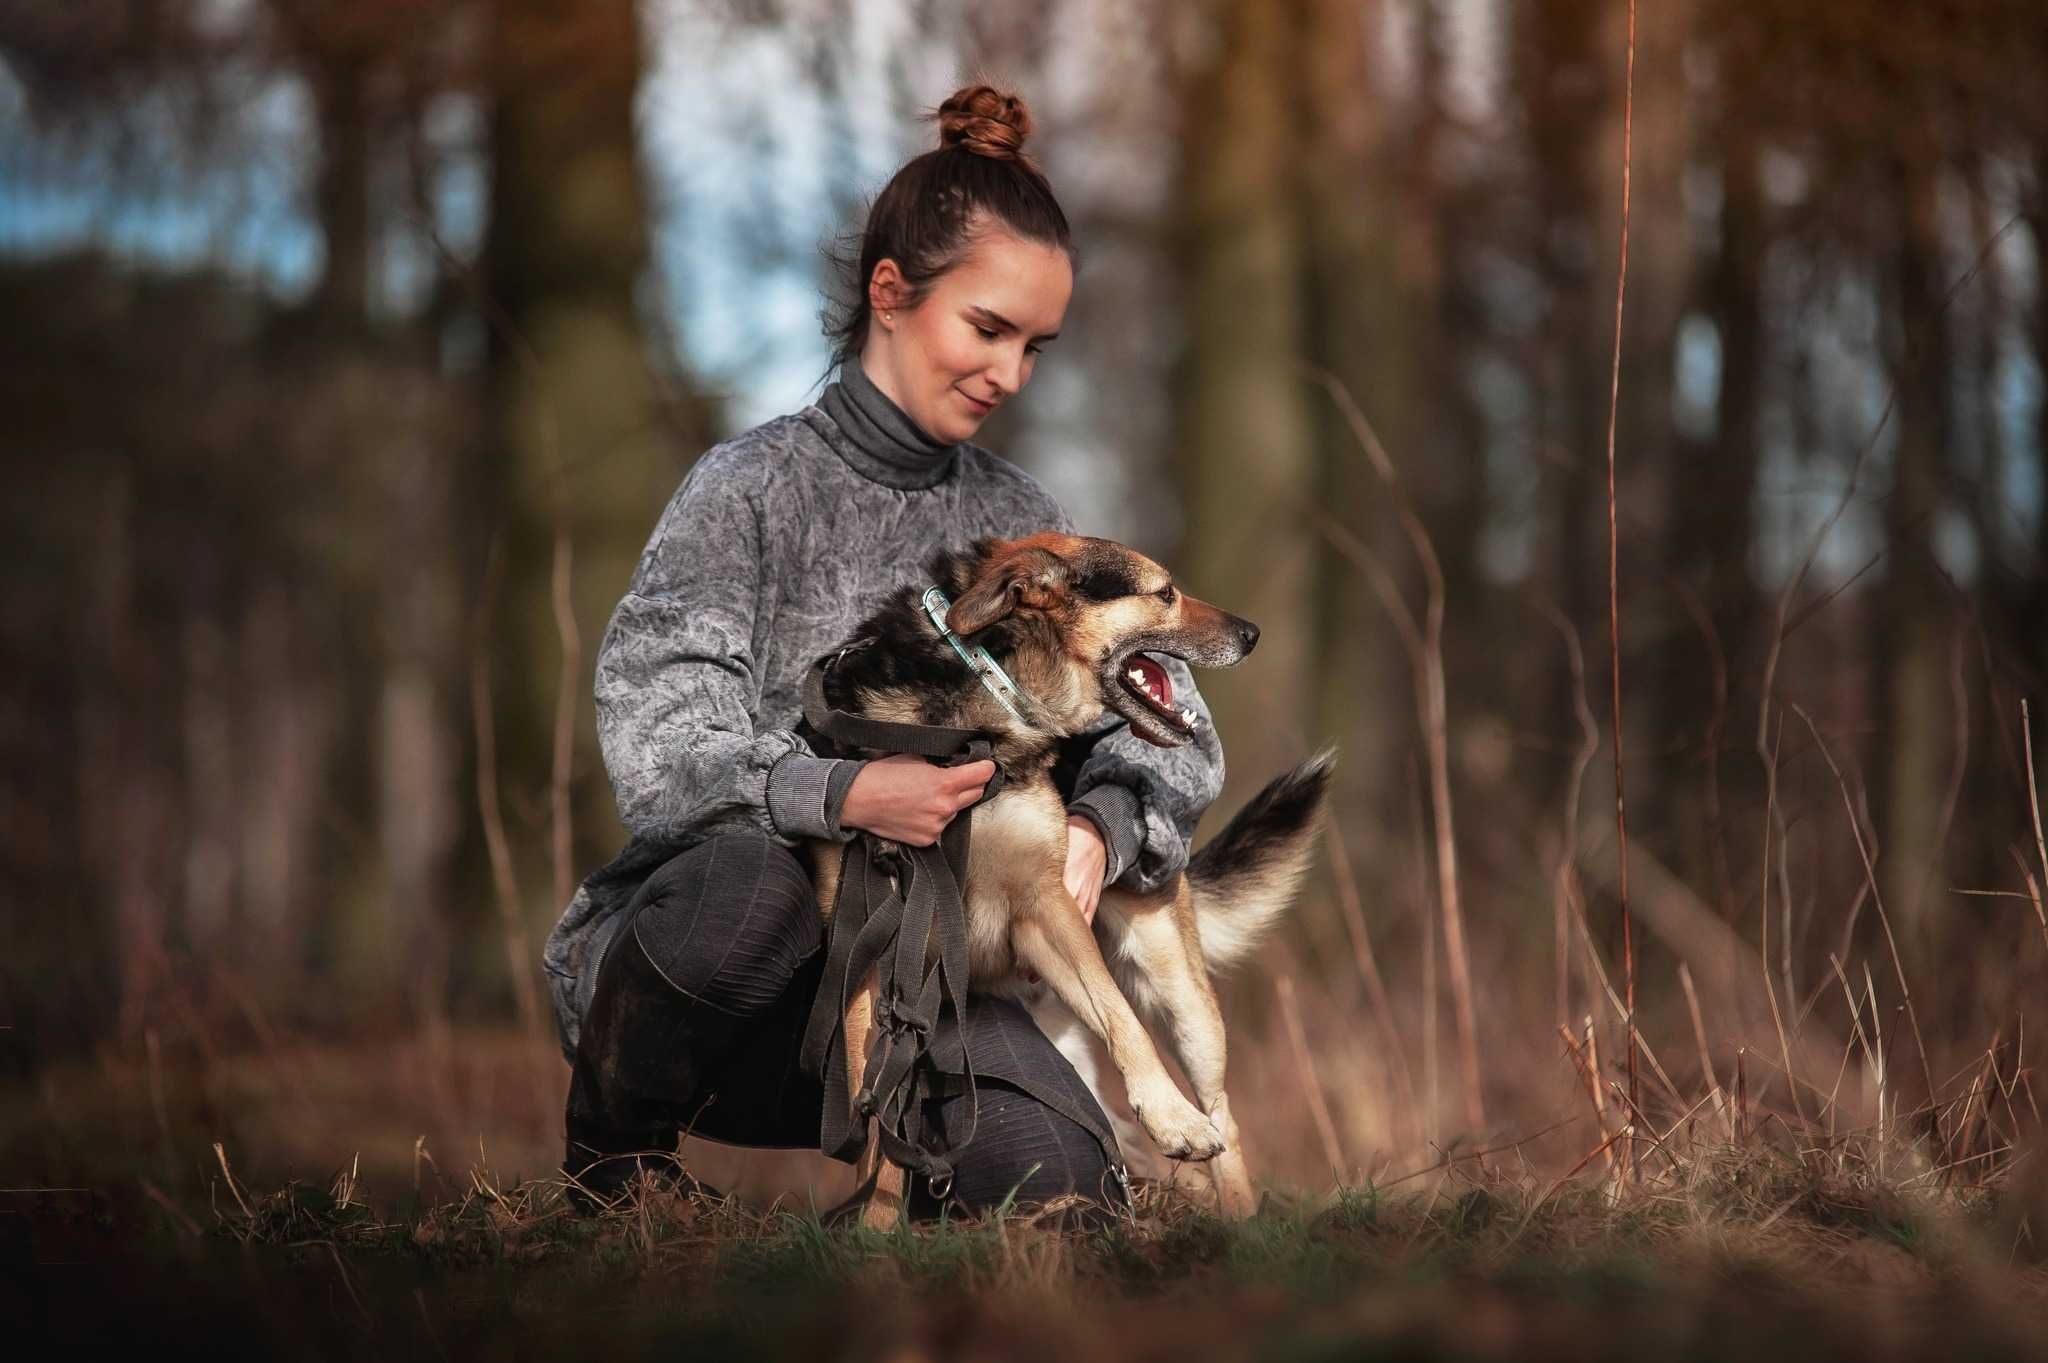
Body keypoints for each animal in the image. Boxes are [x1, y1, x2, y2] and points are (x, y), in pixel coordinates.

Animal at [798, 532, 1327, 1219]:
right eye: (1166, 593)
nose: (1253, 633)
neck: (982, 693)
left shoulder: (1047, 906)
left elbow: (1122, 1019)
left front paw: (1173, 1118)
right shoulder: (873, 946)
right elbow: (875, 1104)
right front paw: (876, 1223)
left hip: (1182, 1000)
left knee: (1221, 1113)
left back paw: (1236, 1216)